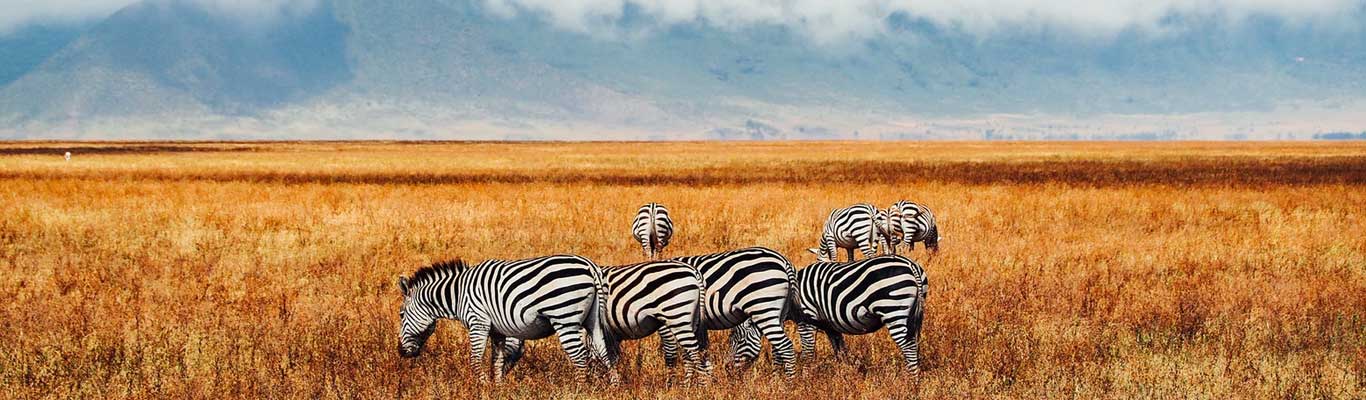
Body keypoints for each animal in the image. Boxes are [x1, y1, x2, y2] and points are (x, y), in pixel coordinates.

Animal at [396, 253, 609, 382]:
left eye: (401, 315)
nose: (400, 351)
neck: (458, 294)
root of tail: (589, 266)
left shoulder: (478, 323)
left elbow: (475, 360)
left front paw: (482, 387)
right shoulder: (497, 331)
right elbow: (497, 361)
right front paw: (497, 387)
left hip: (565, 319)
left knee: (580, 357)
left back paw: (580, 389)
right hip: (593, 320)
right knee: (603, 351)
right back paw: (612, 387)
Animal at [663, 245, 797, 376]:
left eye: (739, 341)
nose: (727, 368)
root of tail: (783, 260)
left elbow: (672, 352)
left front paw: (674, 381)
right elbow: (694, 352)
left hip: (763, 308)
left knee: (785, 347)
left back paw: (789, 381)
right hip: (779, 313)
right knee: (777, 350)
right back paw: (777, 379)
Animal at [726, 255, 928, 371]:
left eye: (737, 340)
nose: (727, 369)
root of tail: (911, 266)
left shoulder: (807, 321)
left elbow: (808, 352)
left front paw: (806, 377)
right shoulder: (831, 326)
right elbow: (840, 351)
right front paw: (845, 374)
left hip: (893, 310)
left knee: (909, 346)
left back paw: (912, 381)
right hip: (913, 316)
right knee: (914, 344)